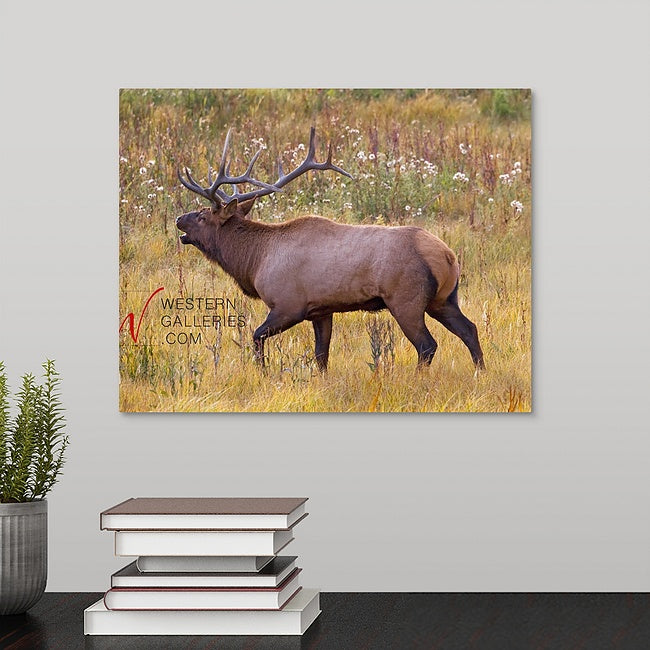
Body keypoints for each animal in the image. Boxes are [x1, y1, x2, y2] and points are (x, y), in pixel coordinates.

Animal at [176, 127, 484, 372]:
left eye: (202, 215)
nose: (179, 218)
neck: (254, 262)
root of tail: (447, 257)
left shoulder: (288, 305)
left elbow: (256, 337)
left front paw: (262, 372)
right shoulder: (321, 310)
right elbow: (321, 356)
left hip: (406, 301)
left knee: (427, 345)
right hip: (444, 299)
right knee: (470, 329)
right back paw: (480, 372)